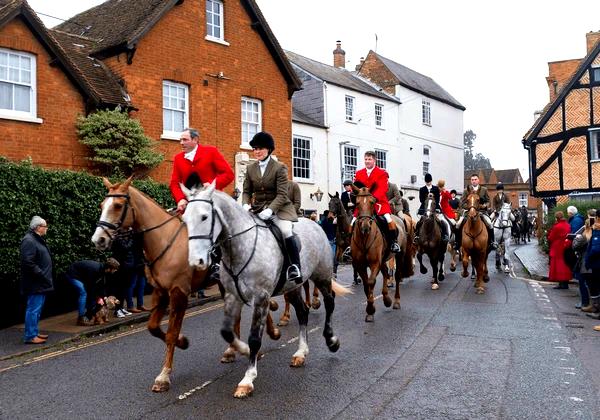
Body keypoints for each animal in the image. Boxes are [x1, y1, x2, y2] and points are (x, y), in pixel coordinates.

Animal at [90, 176, 282, 388]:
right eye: (101, 205)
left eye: (117, 205)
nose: (98, 239)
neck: (164, 240)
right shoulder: (160, 291)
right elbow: (153, 328)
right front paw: (182, 342)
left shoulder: (178, 292)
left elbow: (171, 333)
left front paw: (164, 374)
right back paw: (234, 350)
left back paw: (269, 333)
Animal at [180, 182, 350, 398]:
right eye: (185, 219)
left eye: (204, 217)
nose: (196, 261)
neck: (239, 248)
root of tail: (315, 224)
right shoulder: (232, 295)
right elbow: (227, 332)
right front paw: (243, 351)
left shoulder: (261, 297)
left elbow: (254, 338)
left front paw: (247, 379)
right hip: (292, 286)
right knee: (303, 312)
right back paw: (301, 353)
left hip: (322, 275)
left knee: (330, 302)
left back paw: (331, 340)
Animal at [350, 187, 406, 322]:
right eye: (357, 203)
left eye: (372, 202)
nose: (365, 227)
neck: (364, 238)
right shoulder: (360, 265)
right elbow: (366, 284)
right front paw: (370, 309)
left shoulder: (375, 263)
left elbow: (371, 282)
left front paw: (370, 309)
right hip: (383, 259)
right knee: (386, 273)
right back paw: (386, 299)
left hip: (400, 255)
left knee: (397, 276)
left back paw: (396, 301)